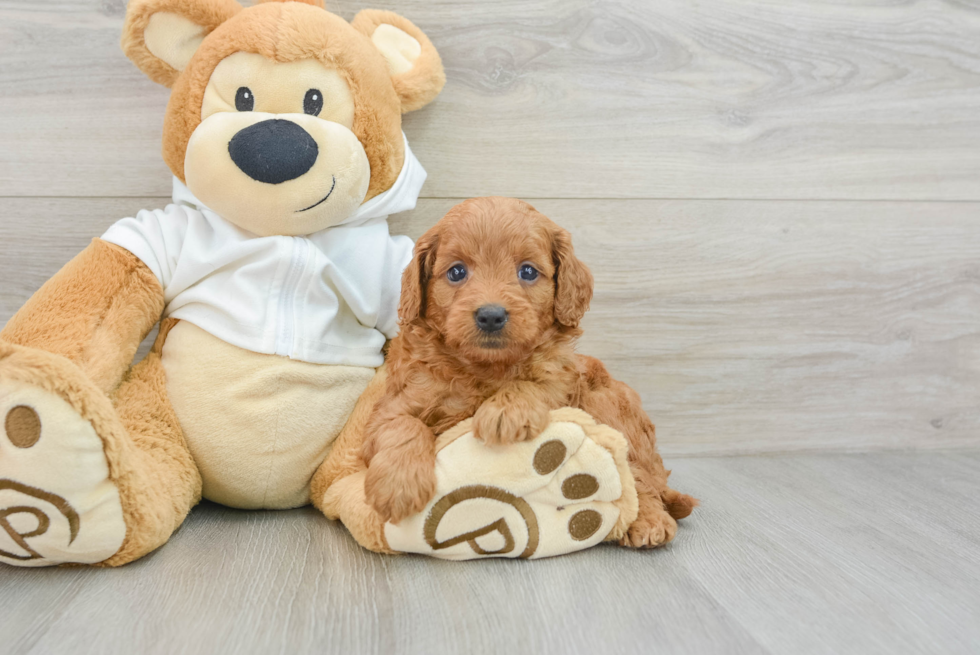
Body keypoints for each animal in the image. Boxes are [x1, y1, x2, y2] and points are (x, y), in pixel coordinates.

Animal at [362, 197, 696, 544]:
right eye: (456, 272)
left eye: (527, 271)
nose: (491, 316)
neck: (486, 368)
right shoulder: (393, 405)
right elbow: (401, 425)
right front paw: (398, 486)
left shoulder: (562, 377)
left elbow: (537, 383)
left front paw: (504, 412)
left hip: (608, 405)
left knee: (636, 475)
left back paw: (648, 521)